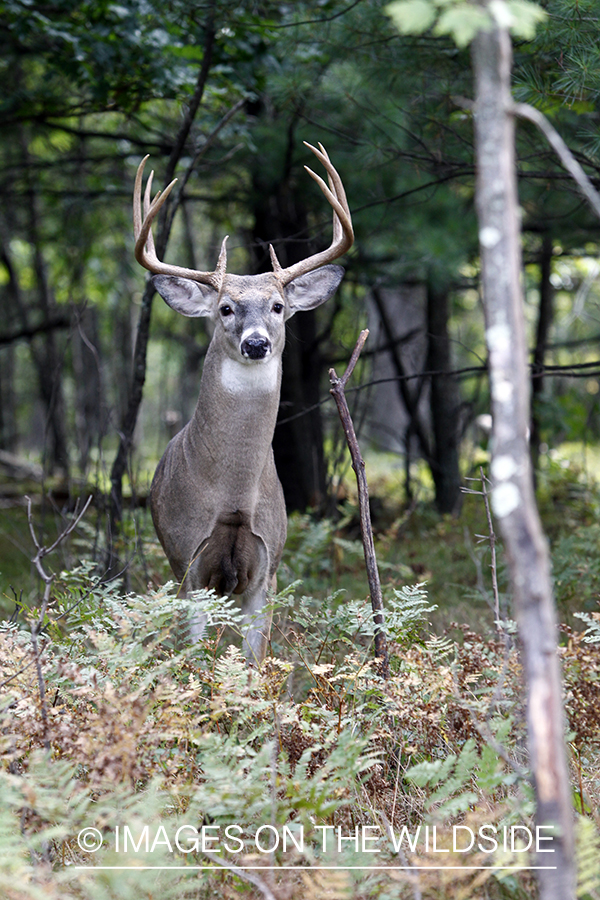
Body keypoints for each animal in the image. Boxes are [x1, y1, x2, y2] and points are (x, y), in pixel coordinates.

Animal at [132, 142, 352, 660]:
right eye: (225, 309)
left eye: (278, 306)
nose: (256, 343)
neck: (231, 497)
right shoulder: (188, 561)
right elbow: (191, 658)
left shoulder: (267, 568)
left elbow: (254, 662)